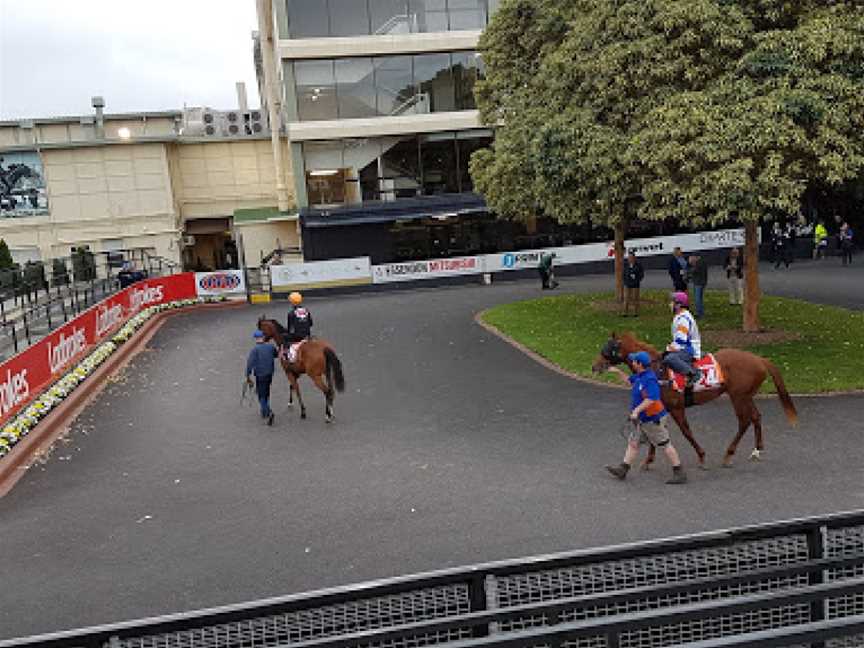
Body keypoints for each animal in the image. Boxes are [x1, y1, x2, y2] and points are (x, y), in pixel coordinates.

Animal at [592, 334, 800, 466]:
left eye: (607, 349)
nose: (595, 366)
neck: (657, 369)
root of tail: (760, 360)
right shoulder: (660, 406)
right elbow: (653, 431)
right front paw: (648, 460)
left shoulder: (676, 407)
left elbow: (686, 431)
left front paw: (701, 456)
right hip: (746, 396)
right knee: (756, 416)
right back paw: (757, 450)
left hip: (738, 396)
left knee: (745, 420)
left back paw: (729, 454)